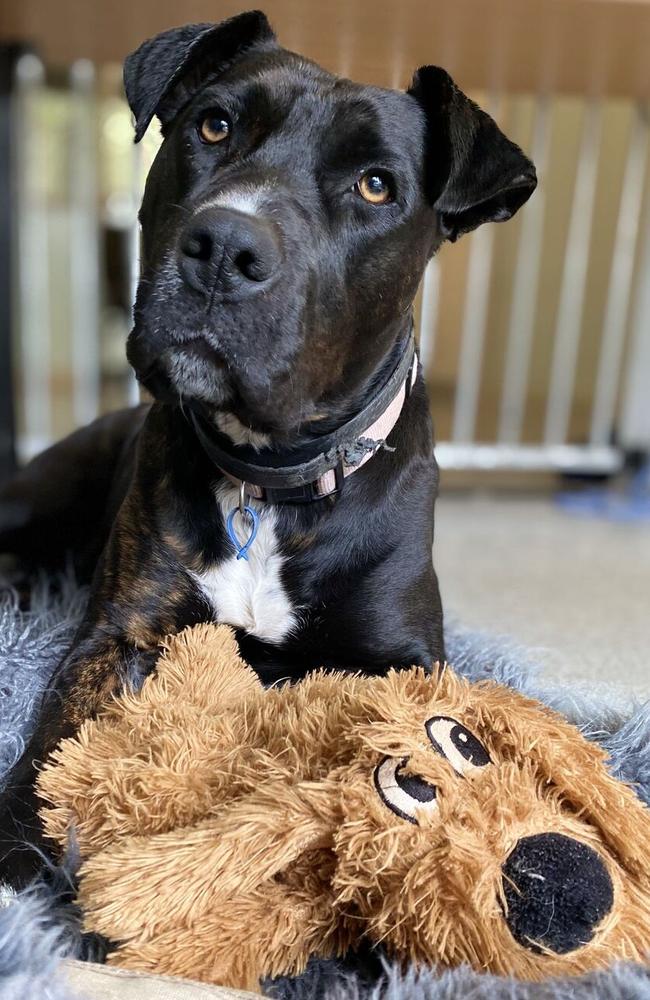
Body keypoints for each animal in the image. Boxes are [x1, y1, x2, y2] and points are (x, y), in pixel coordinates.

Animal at [0, 7, 536, 884]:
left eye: (376, 185)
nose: (223, 246)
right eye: (214, 125)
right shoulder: (121, 632)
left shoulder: (401, 659)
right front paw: (20, 857)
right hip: (38, 492)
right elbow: (57, 744)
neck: (269, 484)